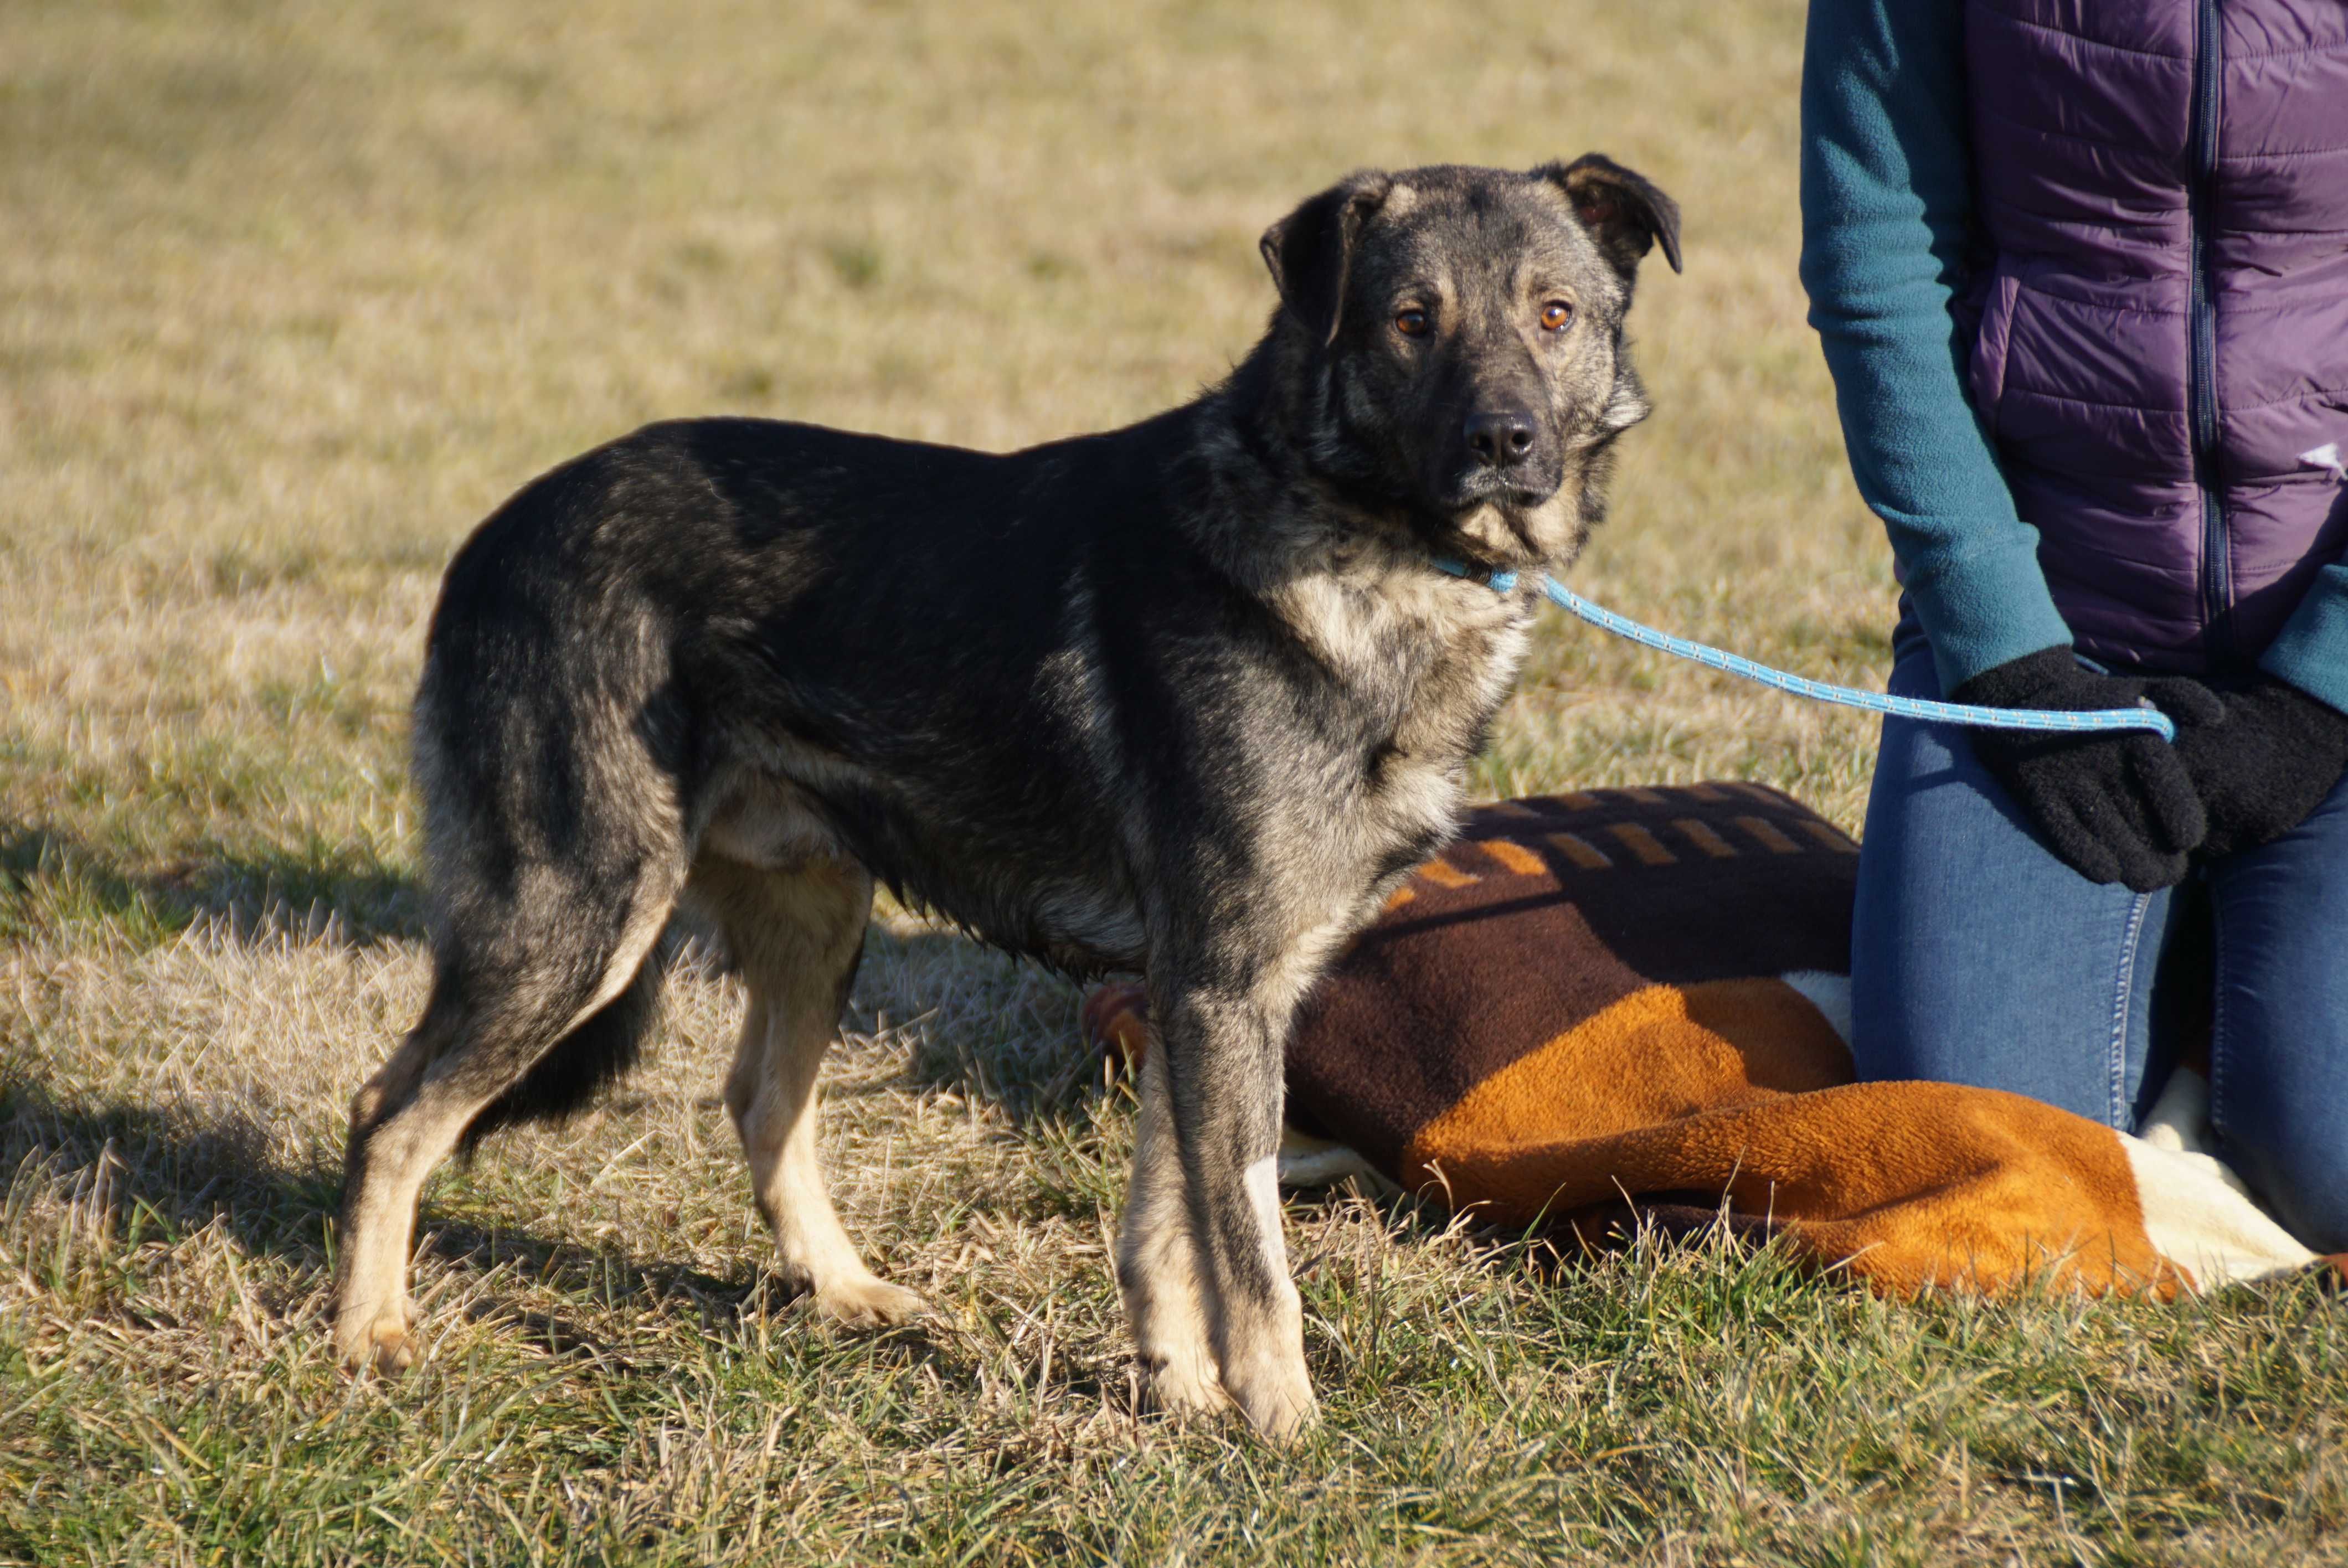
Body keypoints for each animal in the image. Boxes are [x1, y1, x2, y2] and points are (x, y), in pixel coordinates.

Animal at [340, 152, 1681, 1436]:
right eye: (1410, 321)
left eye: (1554, 314)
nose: (1506, 441)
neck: (1356, 530)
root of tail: (495, 534)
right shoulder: (1225, 991)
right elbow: (1251, 1254)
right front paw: (1289, 1431)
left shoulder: (1198, 996)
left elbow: (1166, 1227)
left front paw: (1183, 1398)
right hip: (580, 917)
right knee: (389, 1110)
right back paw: (368, 1335)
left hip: (815, 919)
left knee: (760, 1102)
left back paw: (842, 1290)